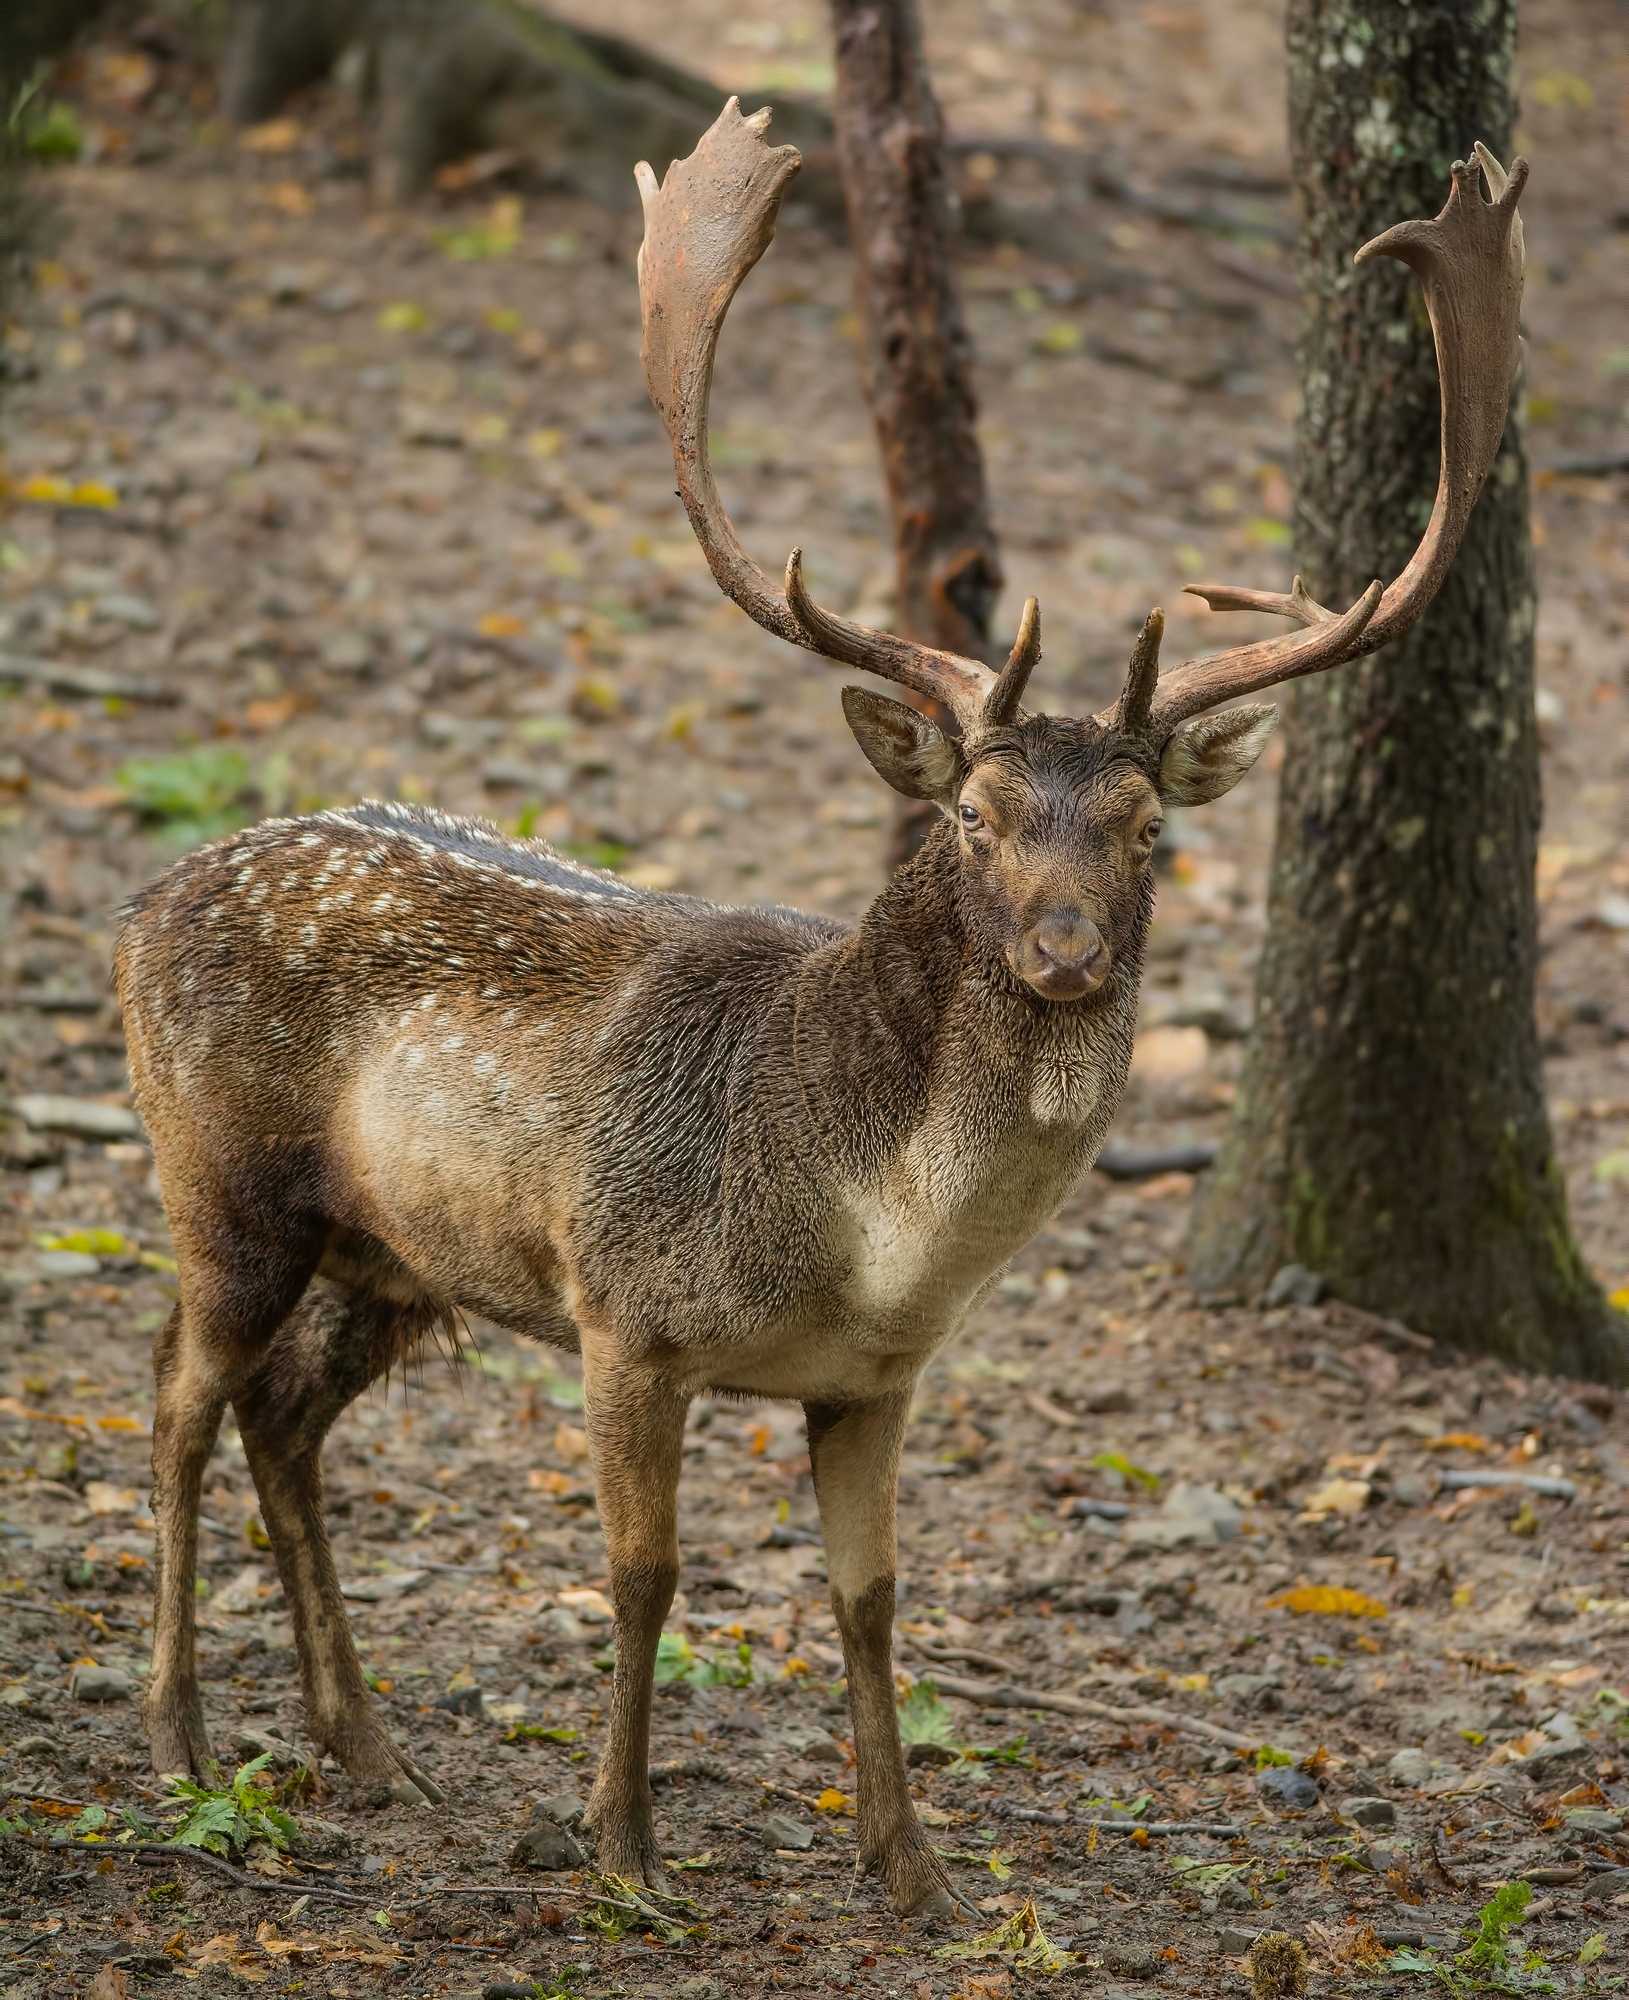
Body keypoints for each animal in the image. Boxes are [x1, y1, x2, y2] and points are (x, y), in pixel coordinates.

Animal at [113, 102, 1526, 1916]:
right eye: (973, 816)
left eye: (1145, 826)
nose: (1065, 952)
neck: (866, 1235)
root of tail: (143, 905)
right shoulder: (624, 1307)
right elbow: (643, 1575)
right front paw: (624, 1847)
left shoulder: (873, 1378)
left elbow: (869, 1597)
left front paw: (909, 1866)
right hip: (223, 1185)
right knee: (175, 1397)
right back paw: (178, 1737)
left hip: (399, 1258)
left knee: (283, 1422)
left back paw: (366, 1748)